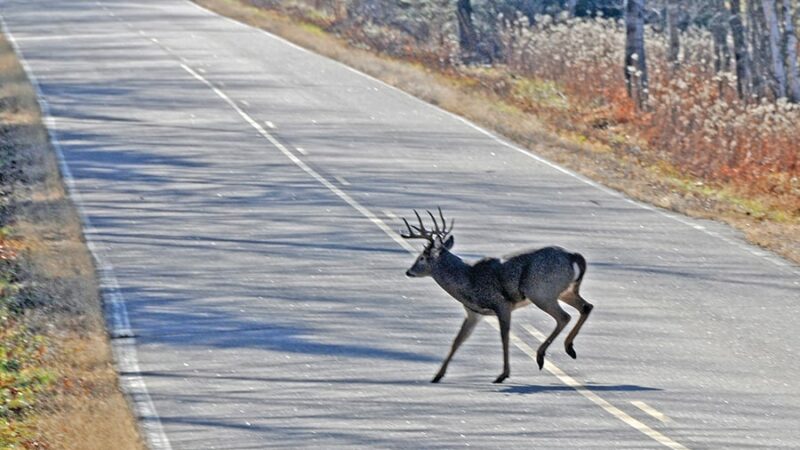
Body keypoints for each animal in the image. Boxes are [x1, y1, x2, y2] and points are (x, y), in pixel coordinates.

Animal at [400, 208, 592, 384]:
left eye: (422, 257)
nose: (409, 271)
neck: (468, 280)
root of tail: (575, 257)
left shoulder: (502, 304)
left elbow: (504, 337)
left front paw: (503, 374)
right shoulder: (473, 313)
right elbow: (458, 340)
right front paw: (437, 375)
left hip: (541, 291)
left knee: (564, 316)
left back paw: (541, 355)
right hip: (564, 291)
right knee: (586, 306)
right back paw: (568, 347)